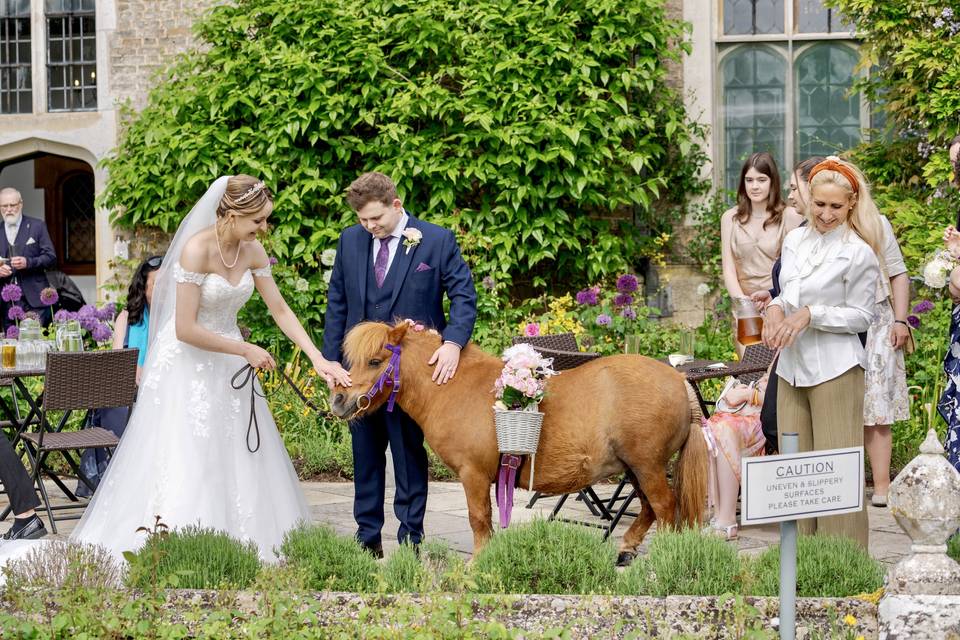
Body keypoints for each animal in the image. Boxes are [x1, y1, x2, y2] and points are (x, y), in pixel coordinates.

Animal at [326, 322, 708, 564]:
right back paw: (627, 549)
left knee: (665, 507)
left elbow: (479, 518)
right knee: (649, 509)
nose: (339, 400)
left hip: (647, 466)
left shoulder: (473, 475)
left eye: (375, 361)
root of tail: (678, 379)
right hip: (636, 468)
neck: (454, 388)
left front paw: (478, 562)